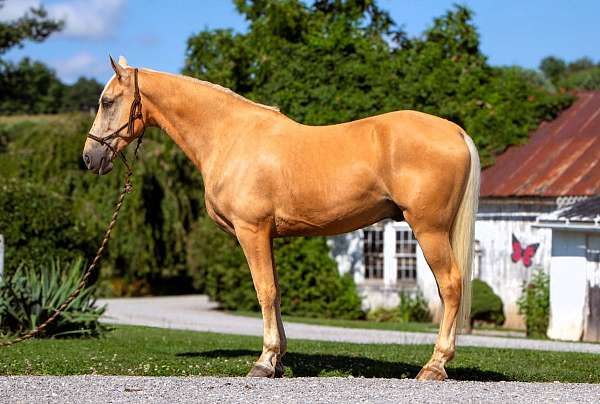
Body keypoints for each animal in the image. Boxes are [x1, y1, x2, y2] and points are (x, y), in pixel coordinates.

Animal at [83, 56, 478, 382]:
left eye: (107, 102)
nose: (89, 157)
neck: (229, 136)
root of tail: (456, 131)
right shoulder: (267, 236)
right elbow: (275, 291)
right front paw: (278, 361)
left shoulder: (251, 231)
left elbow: (264, 291)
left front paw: (263, 361)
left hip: (429, 230)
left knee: (451, 285)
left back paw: (434, 366)